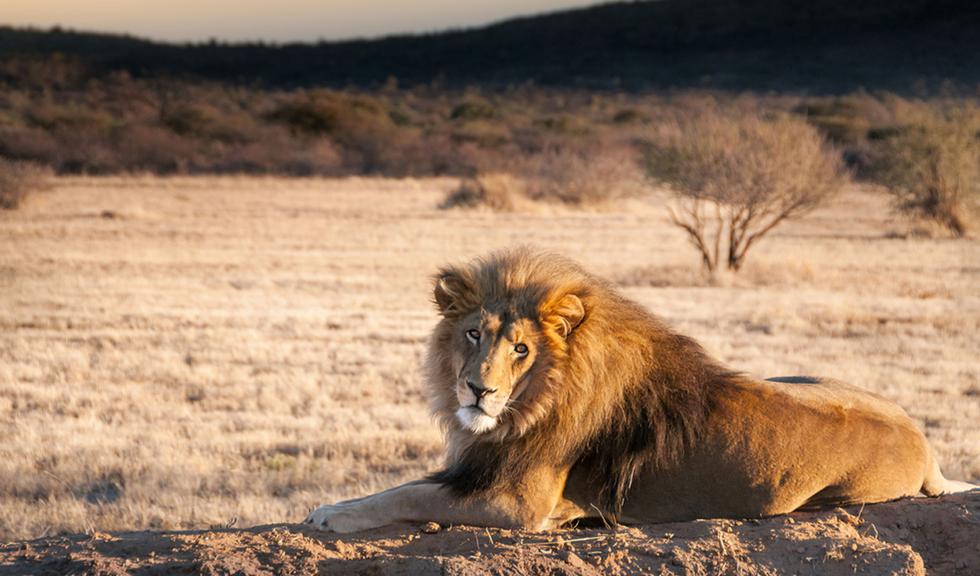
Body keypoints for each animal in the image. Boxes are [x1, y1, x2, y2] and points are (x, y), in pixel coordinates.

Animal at [304, 248, 972, 532]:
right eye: (473, 334)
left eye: (521, 350)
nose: (477, 391)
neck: (530, 407)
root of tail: (926, 443)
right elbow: (404, 486)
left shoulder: (519, 504)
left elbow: (408, 495)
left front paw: (332, 514)